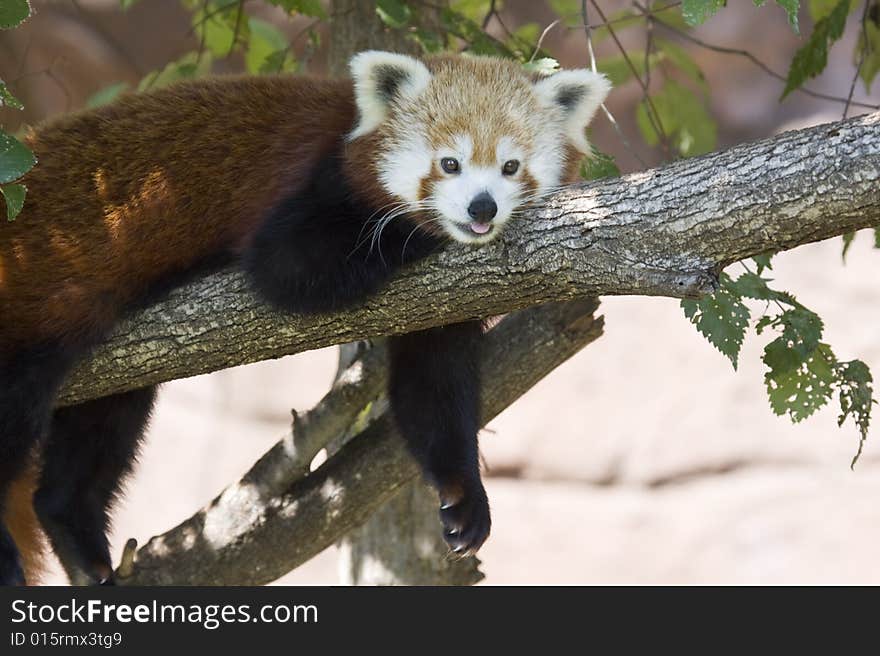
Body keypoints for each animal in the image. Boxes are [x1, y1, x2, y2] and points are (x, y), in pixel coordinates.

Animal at [0, 50, 612, 584]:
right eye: (449, 164)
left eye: (510, 166)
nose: (481, 207)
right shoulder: (310, 186)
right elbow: (288, 266)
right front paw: (415, 230)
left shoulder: (446, 305)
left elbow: (433, 389)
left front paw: (463, 495)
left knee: (99, 431)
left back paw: (77, 539)